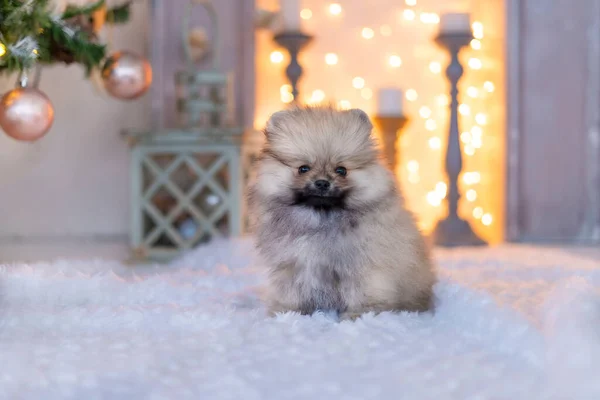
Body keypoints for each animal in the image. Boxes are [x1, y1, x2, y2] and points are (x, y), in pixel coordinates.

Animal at [248, 104, 436, 320]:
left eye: (341, 170)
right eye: (303, 168)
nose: (322, 182)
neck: (321, 220)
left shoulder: (363, 266)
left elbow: (362, 292)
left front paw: (359, 315)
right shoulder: (291, 265)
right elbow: (291, 292)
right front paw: (286, 312)